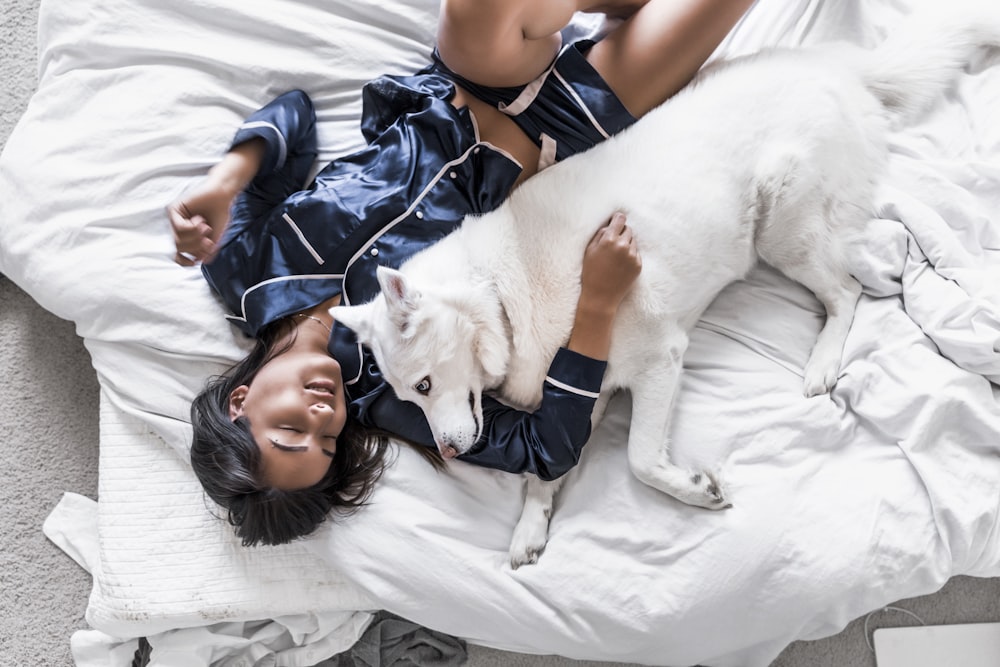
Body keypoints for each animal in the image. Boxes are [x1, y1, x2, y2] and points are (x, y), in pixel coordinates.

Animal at [330, 6, 1000, 568]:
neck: (502, 297)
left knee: (845, 292)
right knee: (861, 266)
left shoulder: (658, 360)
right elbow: (545, 472)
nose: (447, 452)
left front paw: (691, 490)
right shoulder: (587, 394)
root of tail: (836, 64)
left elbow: (640, 460)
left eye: (422, 385)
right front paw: (530, 527)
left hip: (781, 230)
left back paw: (823, 362)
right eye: (407, 396)